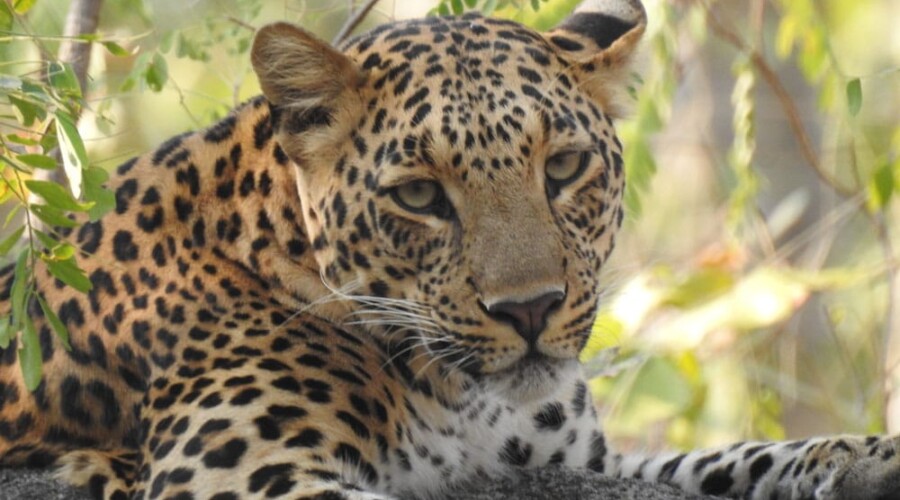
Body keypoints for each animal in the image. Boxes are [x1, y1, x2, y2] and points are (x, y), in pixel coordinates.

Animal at [1, 0, 899, 498]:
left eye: (563, 167)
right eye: (419, 196)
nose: (531, 310)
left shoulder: (579, 459)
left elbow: (729, 457)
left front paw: (864, 455)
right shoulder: (233, 473)